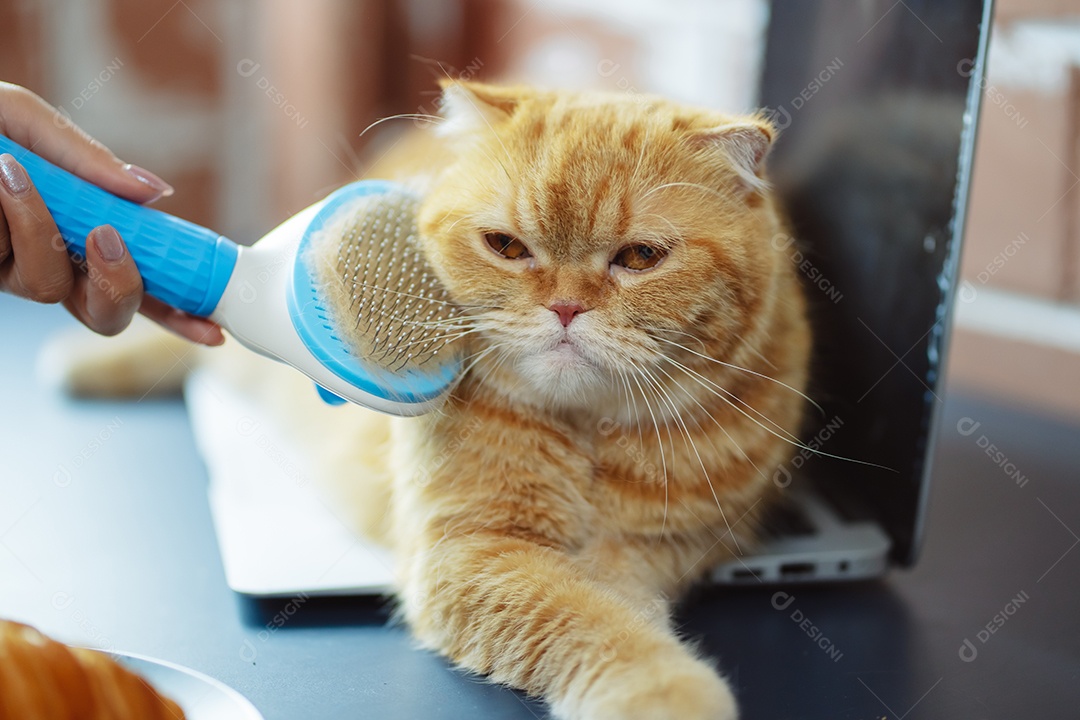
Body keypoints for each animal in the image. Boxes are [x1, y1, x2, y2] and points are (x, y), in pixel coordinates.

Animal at [56, 80, 812, 720]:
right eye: (507, 246)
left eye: (640, 258)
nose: (565, 308)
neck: (591, 437)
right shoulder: (476, 551)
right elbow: (593, 623)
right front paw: (665, 692)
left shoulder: (653, 551)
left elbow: (615, 607)